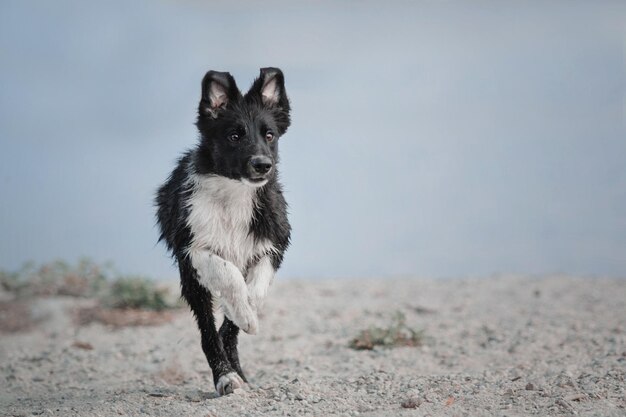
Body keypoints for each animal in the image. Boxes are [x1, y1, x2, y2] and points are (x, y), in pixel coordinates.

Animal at [156, 67, 292, 394]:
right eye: (234, 135)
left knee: (227, 332)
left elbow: (255, 290)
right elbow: (228, 274)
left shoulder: (275, 243)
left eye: (269, 134)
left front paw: (245, 313)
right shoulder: (192, 248)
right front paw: (241, 313)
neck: (235, 195)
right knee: (208, 329)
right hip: (192, 283)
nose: (263, 165)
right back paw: (226, 376)